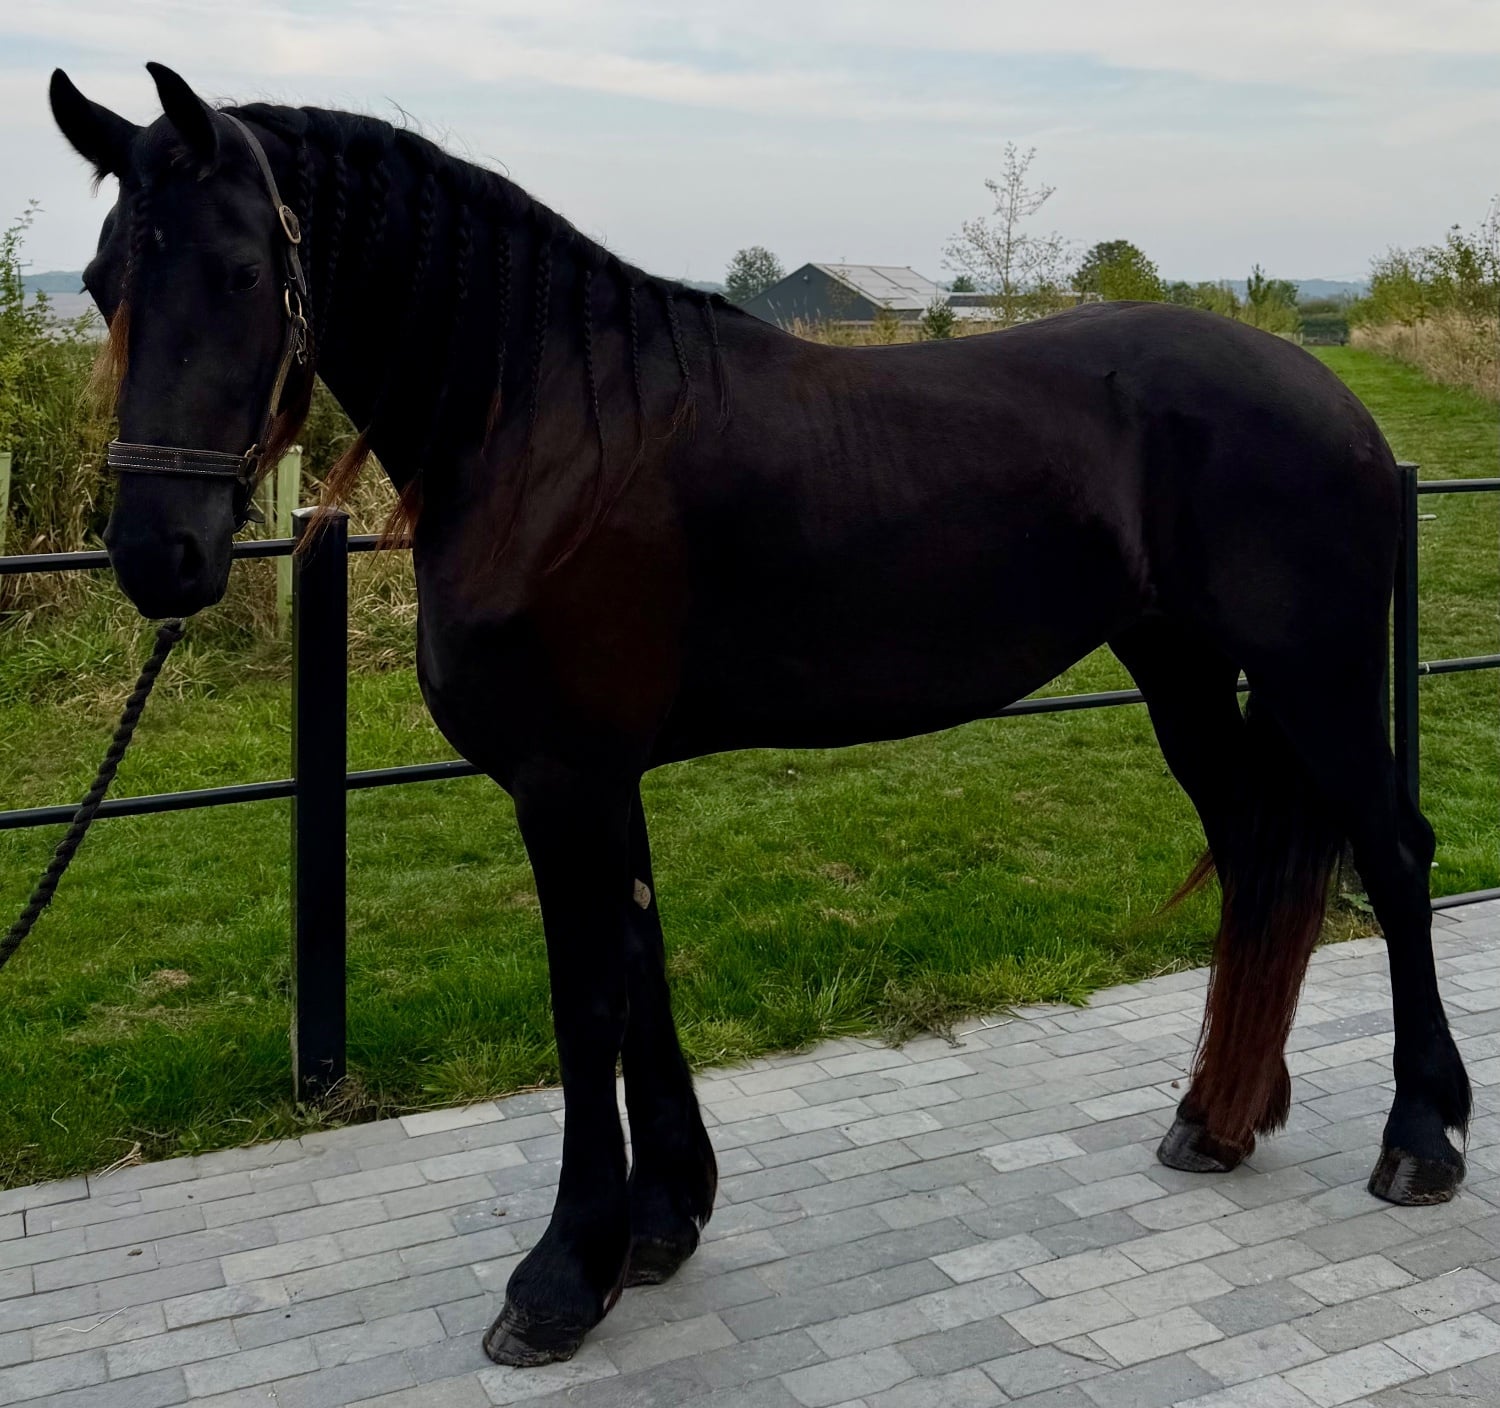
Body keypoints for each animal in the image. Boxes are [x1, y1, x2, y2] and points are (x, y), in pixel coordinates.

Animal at [50, 63, 1470, 1368]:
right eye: (103, 279)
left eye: (242, 270)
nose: (159, 555)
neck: (544, 425)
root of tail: (1332, 398)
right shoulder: (602, 779)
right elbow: (642, 969)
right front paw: (662, 1222)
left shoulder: (564, 779)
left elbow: (589, 1003)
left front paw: (561, 1278)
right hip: (1183, 673)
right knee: (1256, 850)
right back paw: (1220, 1119)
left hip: (1319, 678)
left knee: (1395, 856)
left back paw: (1422, 1138)